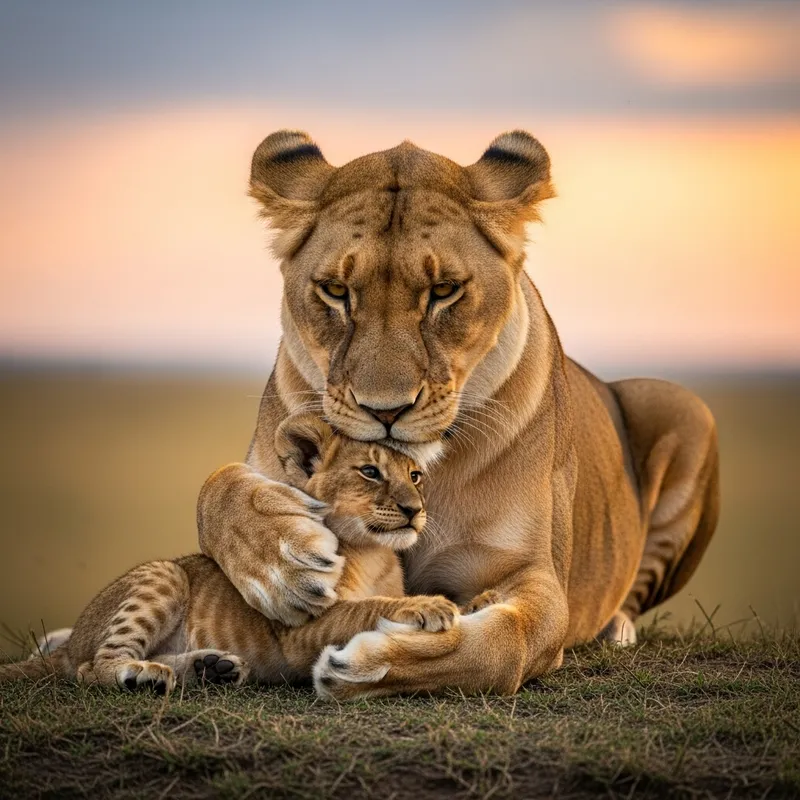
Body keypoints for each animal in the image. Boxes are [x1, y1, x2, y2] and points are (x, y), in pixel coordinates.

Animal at [0, 415, 456, 691]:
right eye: (370, 472)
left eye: (415, 476)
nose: (415, 510)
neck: (375, 554)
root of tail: (71, 640)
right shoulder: (301, 627)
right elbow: (367, 607)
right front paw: (428, 606)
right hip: (163, 574)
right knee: (91, 668)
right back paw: (141, 674)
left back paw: (212, 669)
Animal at [193, 129, 720, 699]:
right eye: (335, 290)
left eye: (444, 291)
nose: (386, 409)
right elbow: (219, 483)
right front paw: (281, 562)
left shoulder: (534, 573)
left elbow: (503, 644)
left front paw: (370, 662)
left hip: (684, 406)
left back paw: (615, 629)